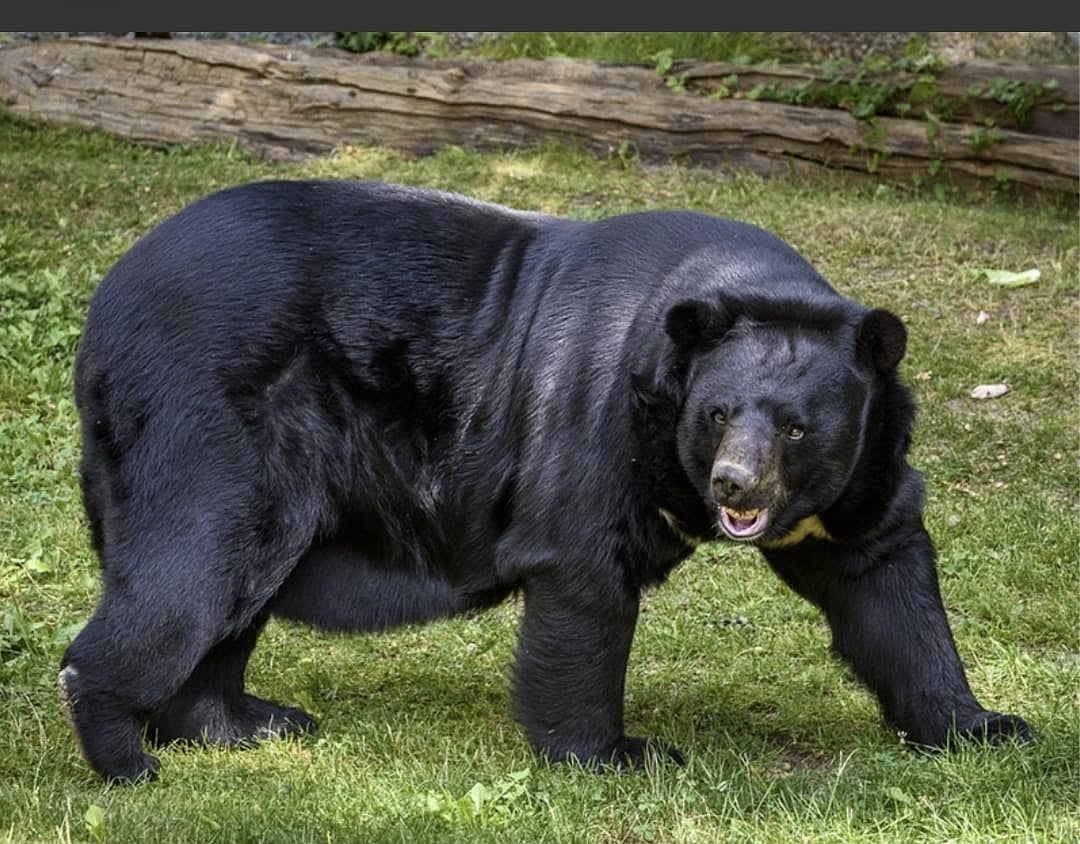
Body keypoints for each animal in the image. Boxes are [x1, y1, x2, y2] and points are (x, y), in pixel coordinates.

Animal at [59, 179, 1031, 783]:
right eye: (718, 413)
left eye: (797, 427)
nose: (733, 488)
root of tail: (108, 300)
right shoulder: (594, 410)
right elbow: (582, 576)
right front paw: (616, 753)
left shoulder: (861, 470)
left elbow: (884, 577)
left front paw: (986, 726)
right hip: (209, 421)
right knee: (194, 568)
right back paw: (127, 756)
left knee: (232, 597)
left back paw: (244, 721)